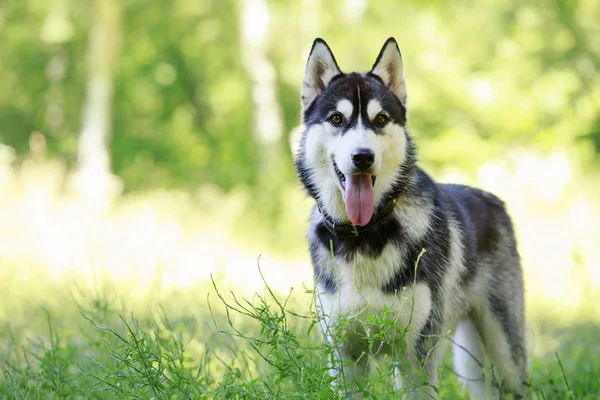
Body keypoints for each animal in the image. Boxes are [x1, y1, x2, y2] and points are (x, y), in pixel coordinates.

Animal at [294, 36, 524, 396]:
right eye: (336, 119)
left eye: (380, 120)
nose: (363, 157)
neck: (365, 236)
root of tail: (493, 199)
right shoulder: (344, 358)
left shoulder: (415, 355)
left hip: (506, 355)